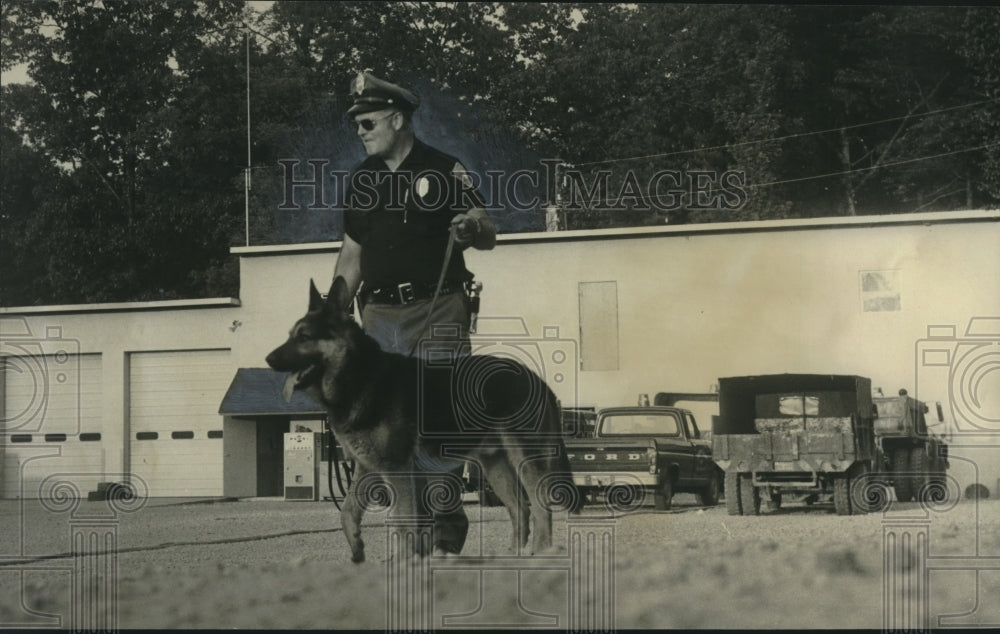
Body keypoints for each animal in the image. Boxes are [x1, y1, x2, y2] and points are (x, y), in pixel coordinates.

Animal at [266, 276, 580, 556]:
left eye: (305, 337)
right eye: (290, 335)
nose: (269, 360)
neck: (360, 375)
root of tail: (538, 380)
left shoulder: (396, 469)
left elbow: (402, 523)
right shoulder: (367, 468)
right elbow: (348, 511)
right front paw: (357, 548)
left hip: (526, 460)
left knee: (540, 508)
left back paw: (540, 555)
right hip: (495, 467)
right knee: (520, 509)